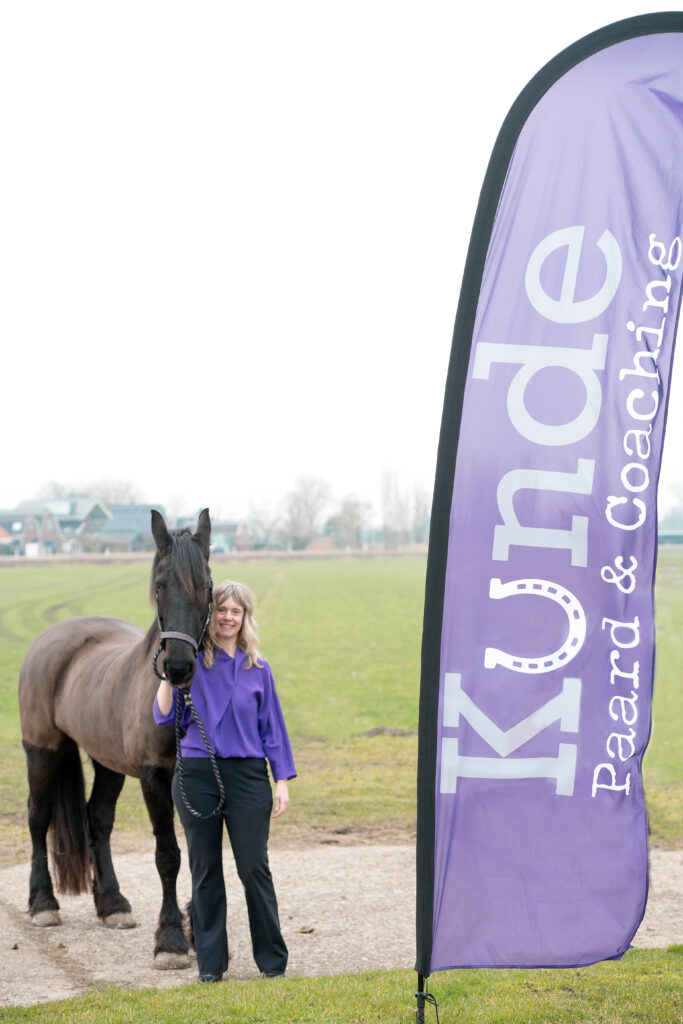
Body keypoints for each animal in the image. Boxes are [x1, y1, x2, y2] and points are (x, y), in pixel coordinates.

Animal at [18, 508, 212, 969]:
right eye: (159, 586)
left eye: (207, 586)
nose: (178, 667)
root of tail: (52, 637)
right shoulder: (155, 777)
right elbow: (168, 856)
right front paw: (171, 940)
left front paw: (197, 932)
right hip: (42, 749)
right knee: (38, 817)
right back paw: (43, 904)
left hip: (106, 762)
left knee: (97, 819)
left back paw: (112, 904)